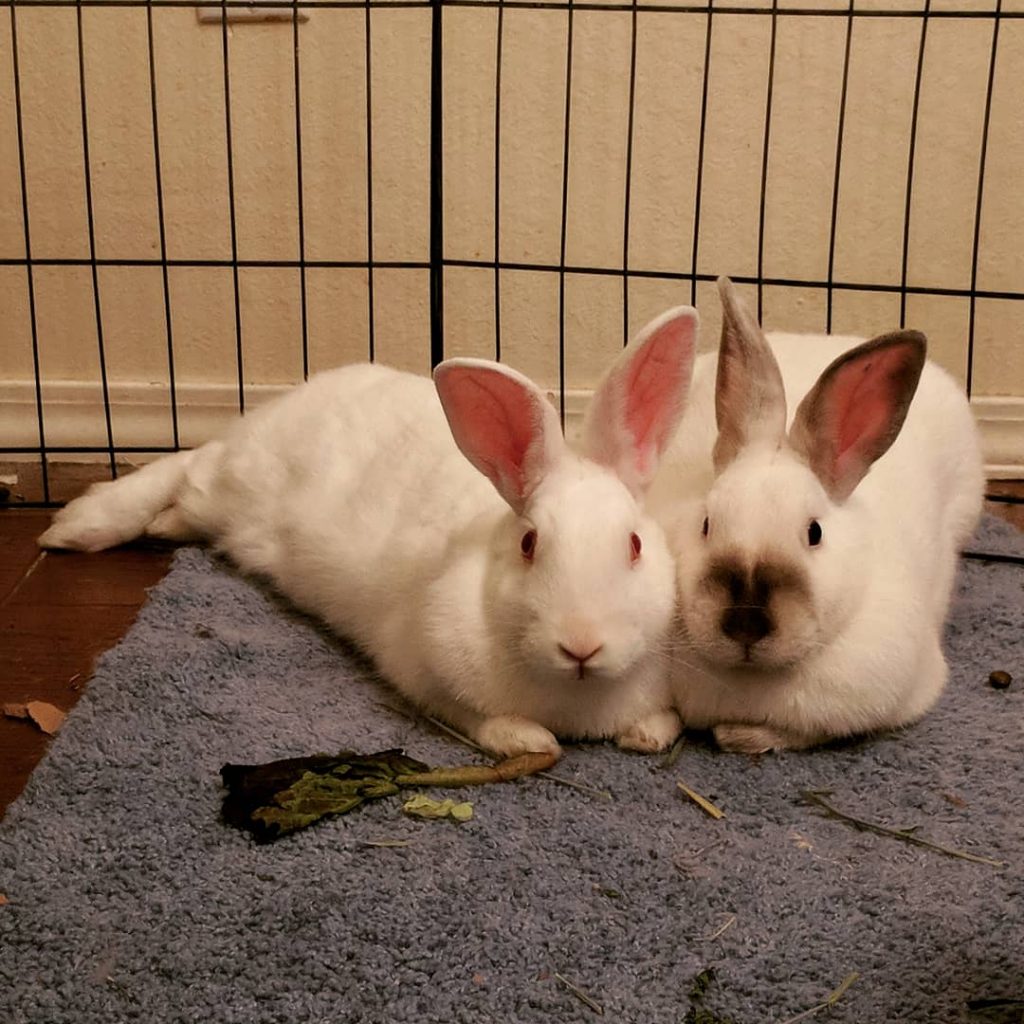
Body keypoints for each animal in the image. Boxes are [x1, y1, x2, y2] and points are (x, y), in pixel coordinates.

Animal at [40, 306, 700, 759]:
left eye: (635, 545)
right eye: (529, 544)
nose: (581, 645)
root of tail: (299, 394)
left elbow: (660, 722)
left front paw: (648, 735)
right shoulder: (420, 666)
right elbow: (477, 718)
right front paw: (529, 741)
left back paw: (157, 524)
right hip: (230, 480)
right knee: (185, 462)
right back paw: (78, 525)